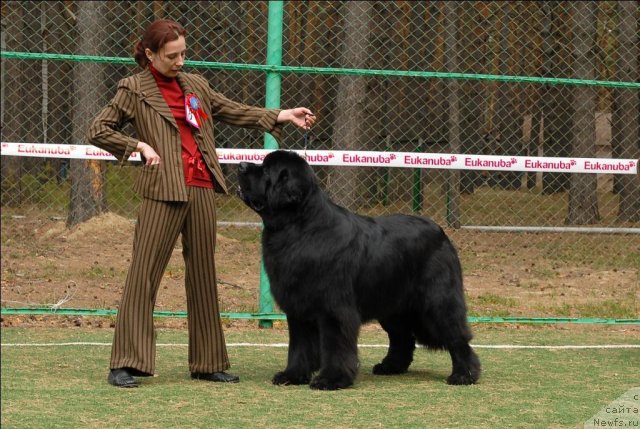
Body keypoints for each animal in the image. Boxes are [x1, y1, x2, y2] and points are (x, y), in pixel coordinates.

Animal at [239, 150, 480, 388]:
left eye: (266, 170)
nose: (241, 165)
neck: (298, 227)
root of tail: (441, 232)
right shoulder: (298, 306)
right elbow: (299, 346)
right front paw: (292, 375)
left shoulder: (334, 308)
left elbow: (335, 345)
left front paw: (331, 379)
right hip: (392, 304)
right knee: (402, 337)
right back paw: (391, 366)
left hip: (437, 300)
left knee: (456, 336)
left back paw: (464, 375)